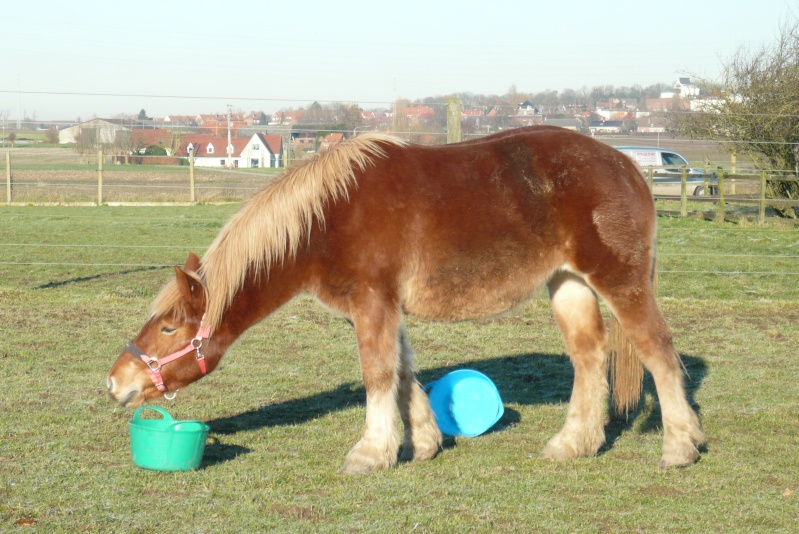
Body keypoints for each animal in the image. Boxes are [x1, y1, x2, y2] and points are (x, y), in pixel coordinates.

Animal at [108, 127, 708, 476]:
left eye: (169, 329)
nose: (117, 382)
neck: (328, 218)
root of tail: (630, 168)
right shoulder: (383, 308)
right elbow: (401, 372)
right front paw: (423, 441)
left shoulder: (374, 302)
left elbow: (377, 373)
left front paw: (371, 453)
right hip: (568, 285)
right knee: (589, 357)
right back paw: (574, 443)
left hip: (621, 283)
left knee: (658, 351)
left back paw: (680, 447)